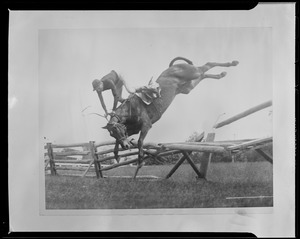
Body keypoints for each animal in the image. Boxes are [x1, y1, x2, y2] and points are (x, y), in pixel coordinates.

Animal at [102, 56, 238, 177]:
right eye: (112, 134)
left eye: (118, 130)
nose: (126, 146)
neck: (130, 110)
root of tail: (173, 67)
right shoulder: (132, 130)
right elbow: (120, 141)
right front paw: (117, 155)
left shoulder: (146, 125)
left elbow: (140, 141)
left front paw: (140, 161)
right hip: (188, 87)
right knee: (203, 75)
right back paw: (222, 74)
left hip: (193, 73)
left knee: (207, 65)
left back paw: (232, 64)